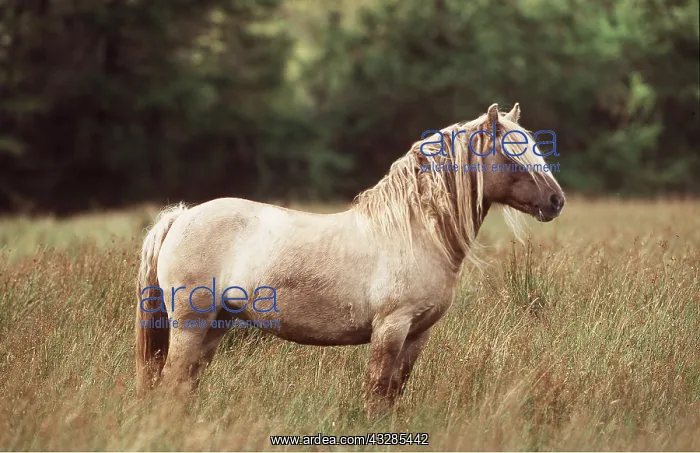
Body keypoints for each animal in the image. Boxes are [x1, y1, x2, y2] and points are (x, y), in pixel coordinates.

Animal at [134, 103, 565, 415]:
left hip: (216, 326)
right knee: (172, 383)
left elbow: (393, 393)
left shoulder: (417, 334)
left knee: (185, 385)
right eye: (512, 154)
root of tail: (181, 217)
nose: (556, 201)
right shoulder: (391, 328)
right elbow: (376, 391)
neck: (414, 231)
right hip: (191, 324)